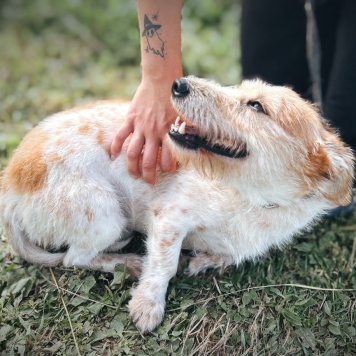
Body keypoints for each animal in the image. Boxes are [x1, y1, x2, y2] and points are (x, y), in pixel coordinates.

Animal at [0, 76, 354, 334]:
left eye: (256, 105)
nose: (179, 83)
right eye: (239, 88)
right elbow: (165, 264)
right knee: (74, 258)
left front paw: (206, 262)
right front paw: (147, 305)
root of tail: (10, 187)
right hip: (105, 213)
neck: (249, 197)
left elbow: (227, 254)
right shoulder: (169, 218)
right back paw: (127, 262)